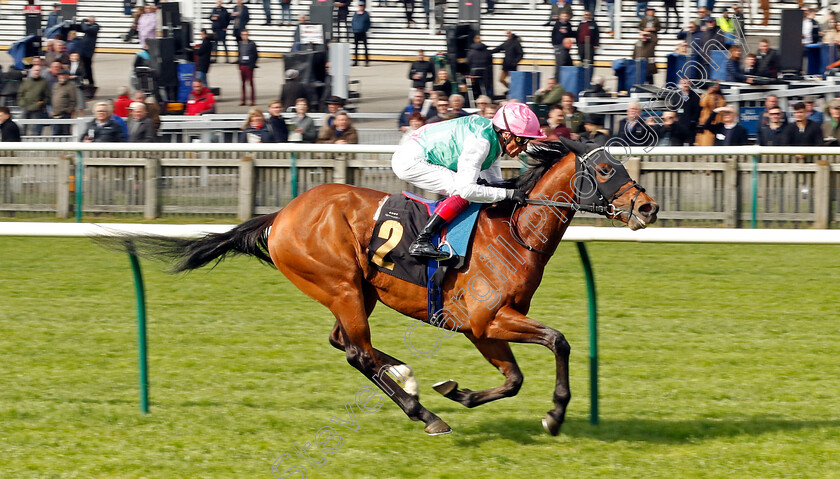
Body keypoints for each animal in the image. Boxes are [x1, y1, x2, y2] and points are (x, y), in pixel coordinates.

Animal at [130, 139, 656, 436]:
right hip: (339, 284)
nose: (647, 208)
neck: (514, 230)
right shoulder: (487, 319)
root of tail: (281, 215)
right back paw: (422, 411)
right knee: (358, 352)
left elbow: (513, 379)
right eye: (606, 170)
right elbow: (558, 341)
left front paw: (460, 392)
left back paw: (408, 376)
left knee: (344, 343)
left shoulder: (481, 328)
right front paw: (555, 415)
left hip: (356, 292)